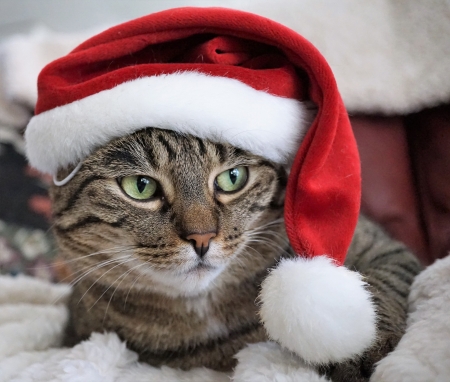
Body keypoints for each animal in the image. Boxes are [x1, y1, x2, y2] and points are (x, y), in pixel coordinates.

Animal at [51, 127, 424, 380]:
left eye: (233, 178)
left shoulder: (382, 248)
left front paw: (358, 353)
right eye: (140, 186)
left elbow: (377, 289)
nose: (201, 237)